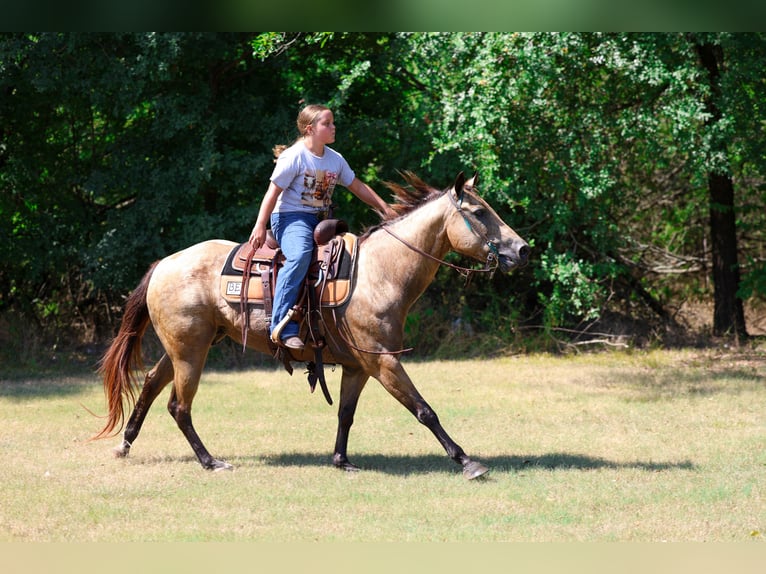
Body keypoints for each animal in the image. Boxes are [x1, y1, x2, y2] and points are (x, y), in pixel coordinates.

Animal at [94, 171, 529, 479]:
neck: (380, 273)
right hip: (190, 352)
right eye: (480, 213)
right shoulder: (384, 361)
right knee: (178, 406)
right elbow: (424, 410)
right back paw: (210, 461)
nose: (523, 249)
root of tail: (163, 264)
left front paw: (341, 460)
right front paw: (467, 461)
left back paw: (125, 444)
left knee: (151, 384)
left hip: (187, 347)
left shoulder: (359, 365)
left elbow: (346, 415)